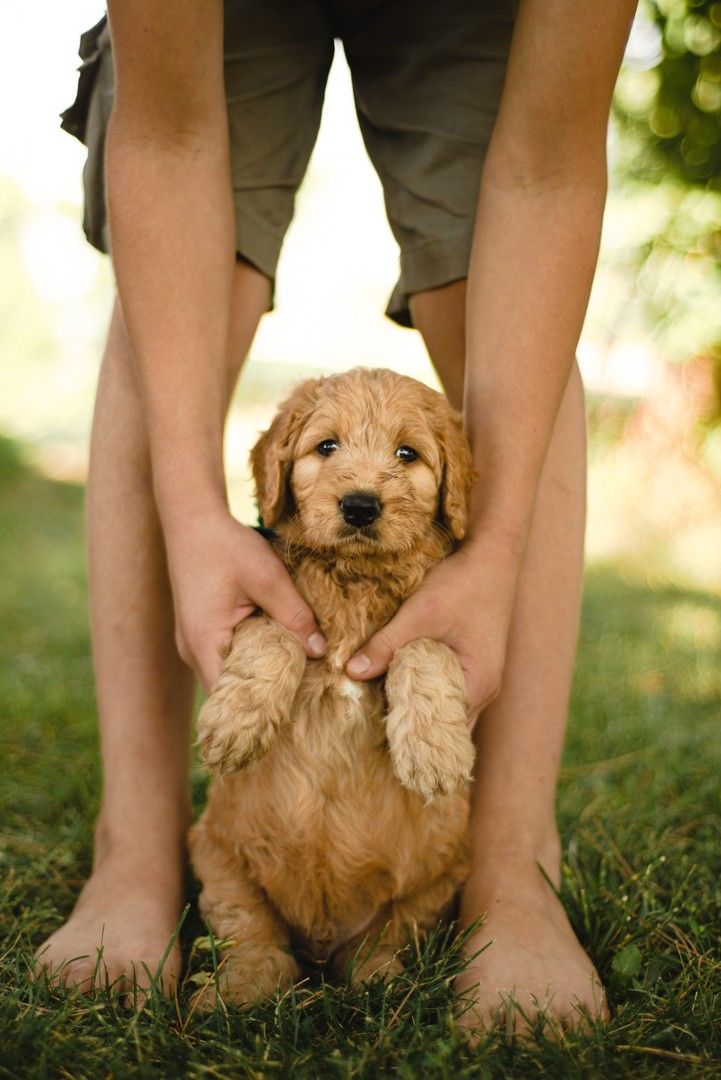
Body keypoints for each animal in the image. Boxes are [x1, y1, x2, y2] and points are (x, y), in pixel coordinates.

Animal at [188, 369, 474, 1002]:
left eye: (407, 454)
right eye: (326, 446)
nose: (361, 506)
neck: (355, 581)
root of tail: (322, 938)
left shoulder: (430, 620)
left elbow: (424, 644)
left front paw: (435, 752)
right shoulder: (277, 603)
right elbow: (272, 629)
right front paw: (235, 723)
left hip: (437, 874)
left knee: (390, 936)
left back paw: (383, 983)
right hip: (218, 856)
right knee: (254, 937)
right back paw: (237, 990)